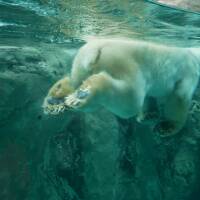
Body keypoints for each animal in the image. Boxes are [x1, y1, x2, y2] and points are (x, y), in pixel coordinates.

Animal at [42, 38, 200, 137]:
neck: (195, 54)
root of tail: (95, 48)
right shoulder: (189, 73)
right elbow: (179, 99)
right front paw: (166, 127)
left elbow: (150, 97)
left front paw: (149, 115)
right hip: (125, 63)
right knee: (130, 100)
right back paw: (85, 93)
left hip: (81, 67)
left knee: (80, 88)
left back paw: (55, 99)